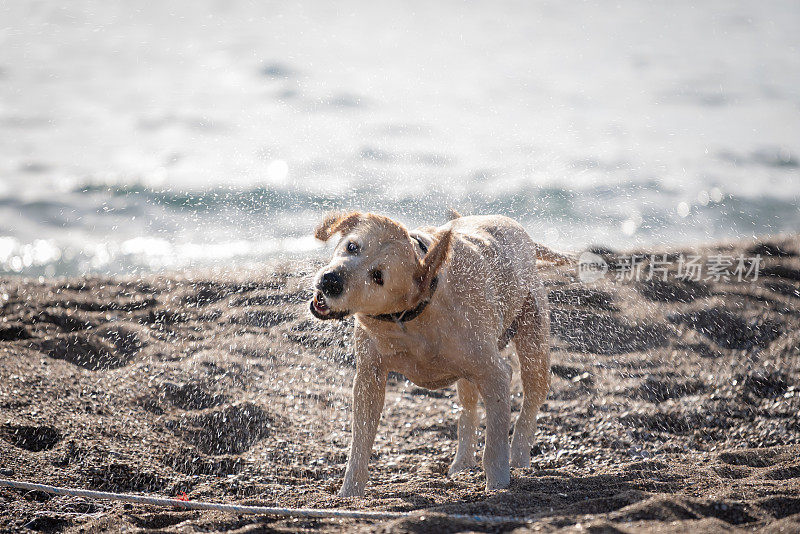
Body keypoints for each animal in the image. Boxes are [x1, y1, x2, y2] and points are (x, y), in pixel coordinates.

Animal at [310, 213, 572, 498]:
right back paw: (463, 461)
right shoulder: (370, 375)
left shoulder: (494, 373)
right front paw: (350, 492)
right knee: (468, 407)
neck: (415, 312)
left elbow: (495, 443)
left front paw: (498, 485)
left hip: (533, 338)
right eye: (352, 246)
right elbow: (360, 440)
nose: (331, 280)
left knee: (531, 400)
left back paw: (520, 455)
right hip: (466, 374)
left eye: (378, 276)